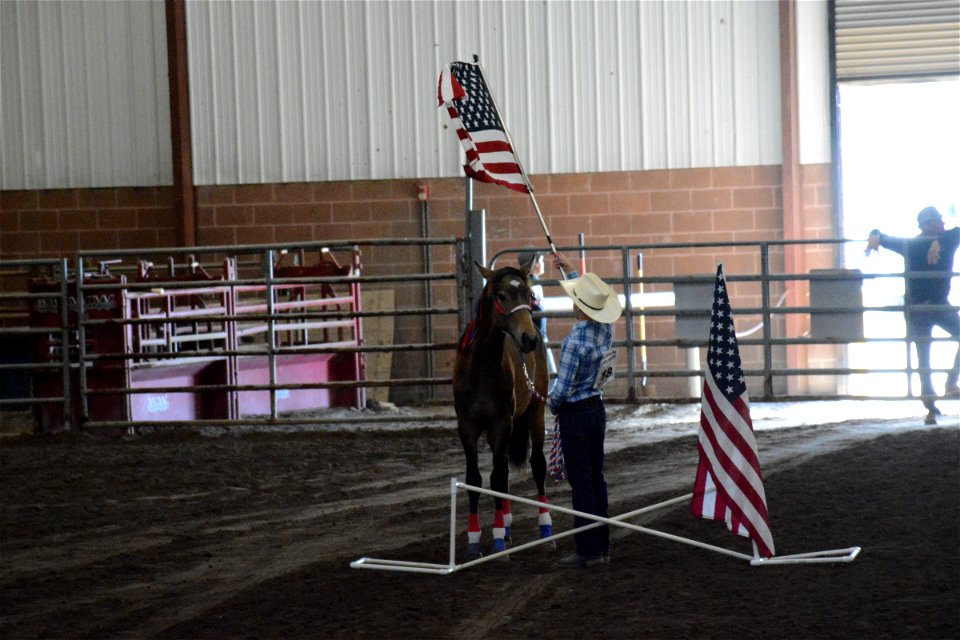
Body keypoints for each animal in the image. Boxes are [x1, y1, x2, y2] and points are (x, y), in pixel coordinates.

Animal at [454, 262, 552, 556]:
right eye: (501, 295)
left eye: (530, 294)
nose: (529, 338)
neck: (481, 367)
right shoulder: (468, 427)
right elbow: (474, 479)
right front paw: (474, 540)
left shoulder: (501, 424)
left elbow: (497, 479)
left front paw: (497, 538)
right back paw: (506, 524)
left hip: (535, 412)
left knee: (538, 464)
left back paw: (544, 527)